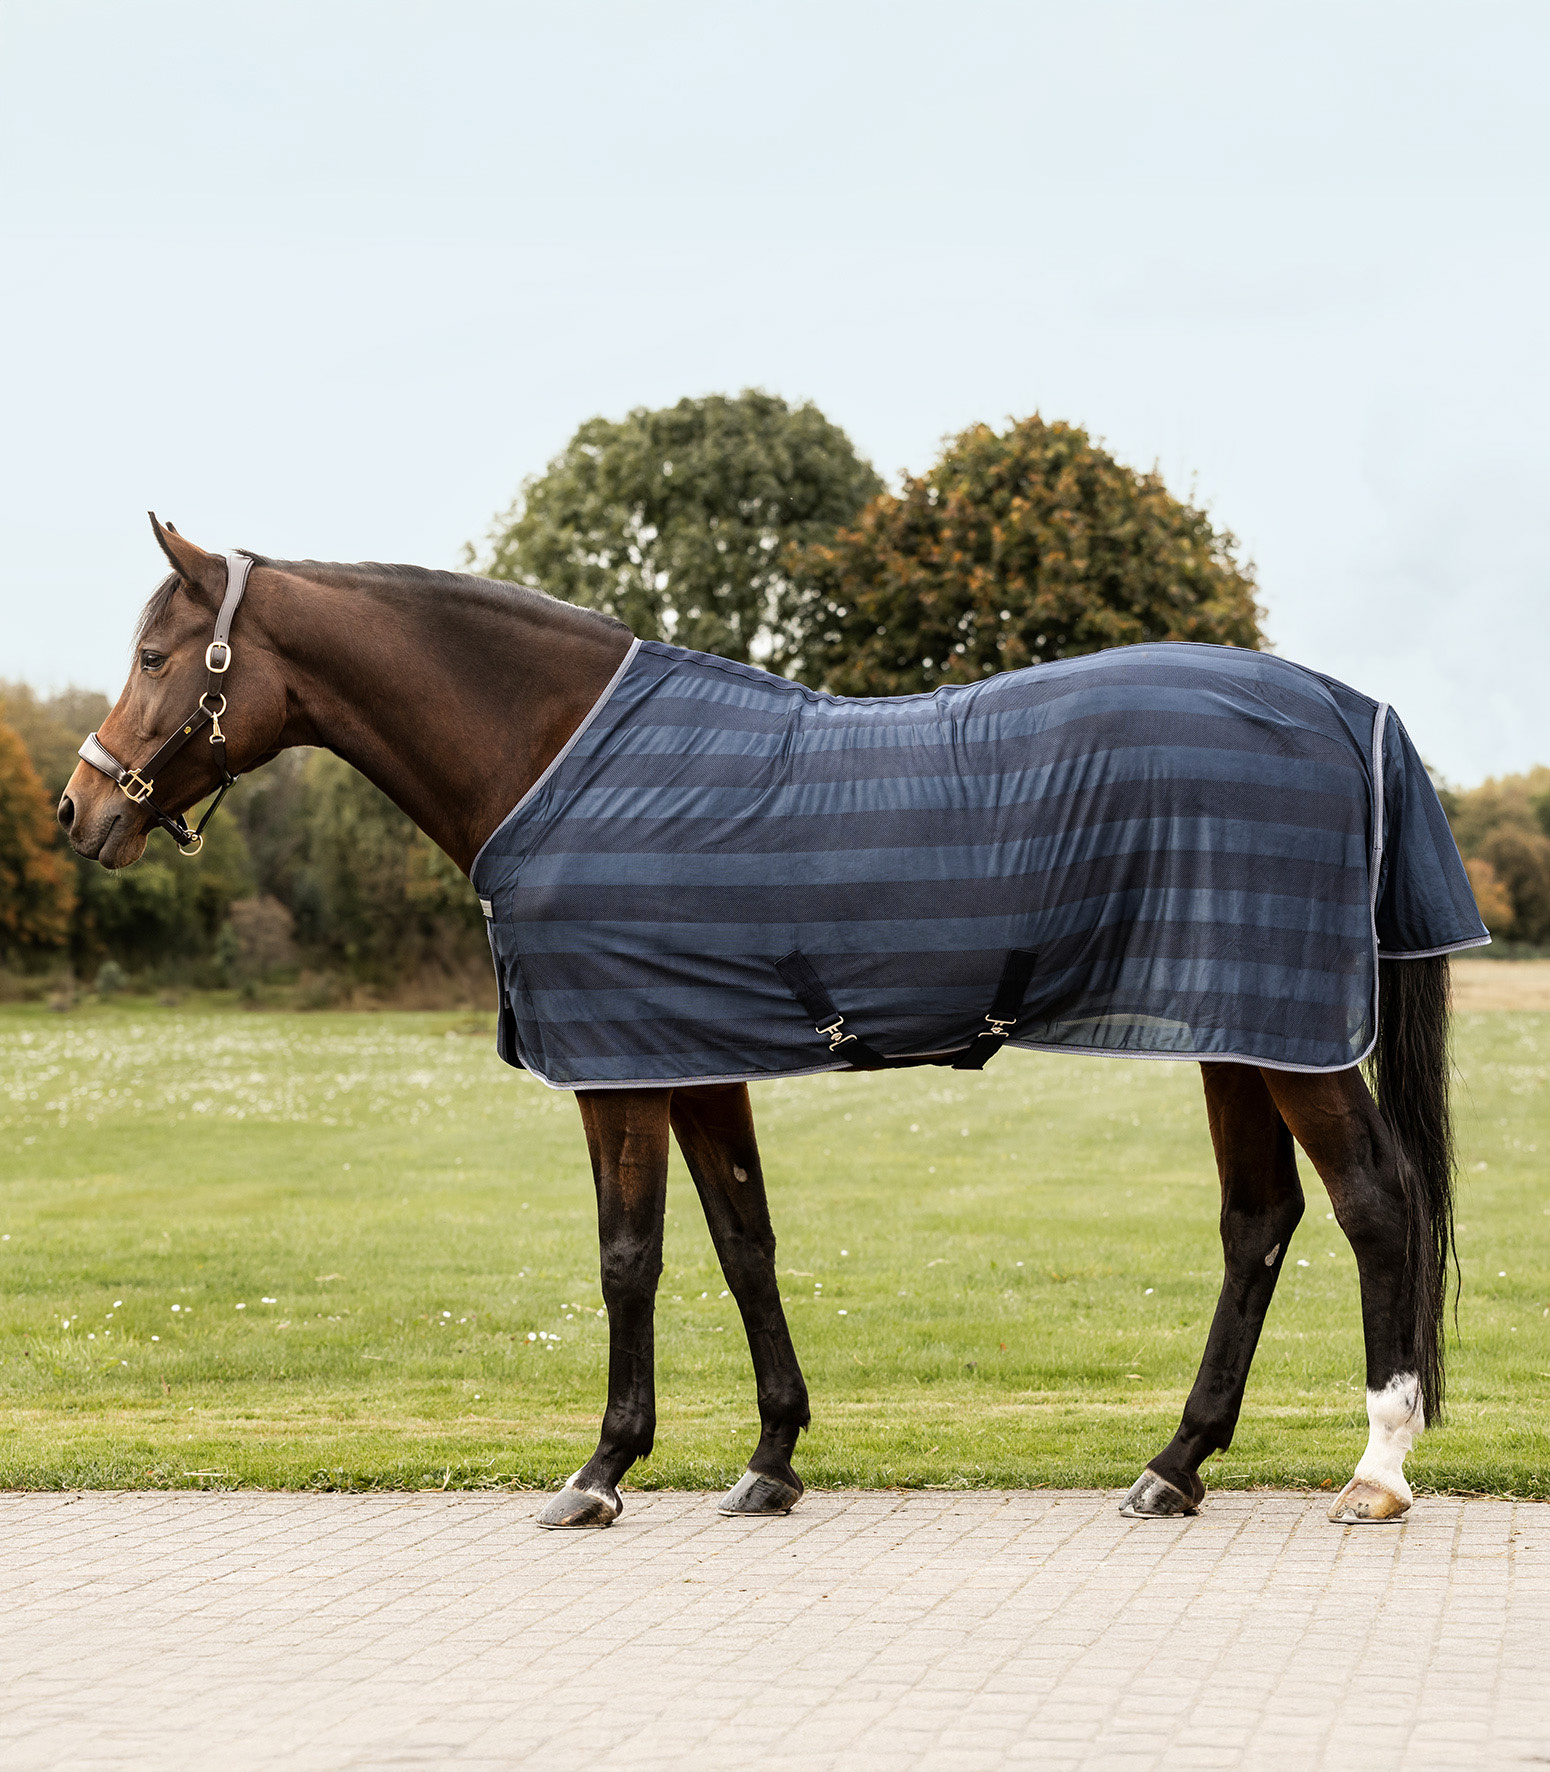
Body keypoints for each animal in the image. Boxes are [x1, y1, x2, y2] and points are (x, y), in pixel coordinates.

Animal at [60, 516, 1485, 1530]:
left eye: (154, 655)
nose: (82, 810)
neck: (557, 753)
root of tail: (1346, 709)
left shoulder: (619, 1069)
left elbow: (627, 1255)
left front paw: (600, 1467)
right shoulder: (694, 1058)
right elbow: (743, 1243)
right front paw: (770, 1458)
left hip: (1287, 1037)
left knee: (1375, 1201)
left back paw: (1374, 1468)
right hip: (1242, 1027)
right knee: (1259, 1220)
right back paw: (1173, 1464)